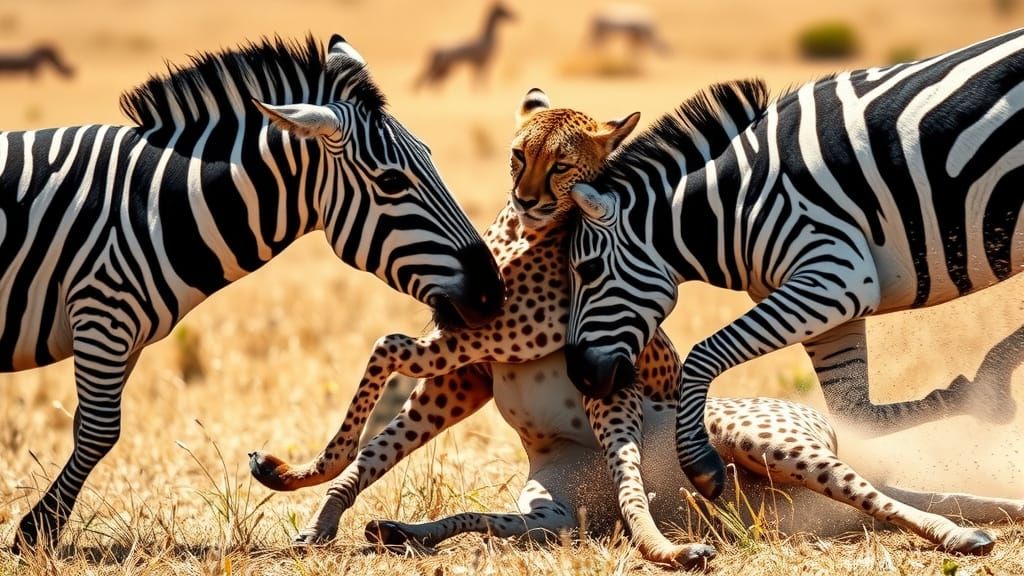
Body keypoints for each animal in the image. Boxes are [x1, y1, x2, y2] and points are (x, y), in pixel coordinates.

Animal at [1, 34, 504, 551]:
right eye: (391, 181)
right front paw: (37, 530)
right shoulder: (102, 309)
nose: (494, 293)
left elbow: (86, 426)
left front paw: (40, 526)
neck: (157, 209)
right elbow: (101, 430)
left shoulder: (120, 330)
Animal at [564, 28, 1024, 504]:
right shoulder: (832, 307)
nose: (580, 378)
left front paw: (700, 465)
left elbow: (704, 353)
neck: (735, 203)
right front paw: (973, 397)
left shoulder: (835, 275)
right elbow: (856, 411)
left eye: (588, 270)